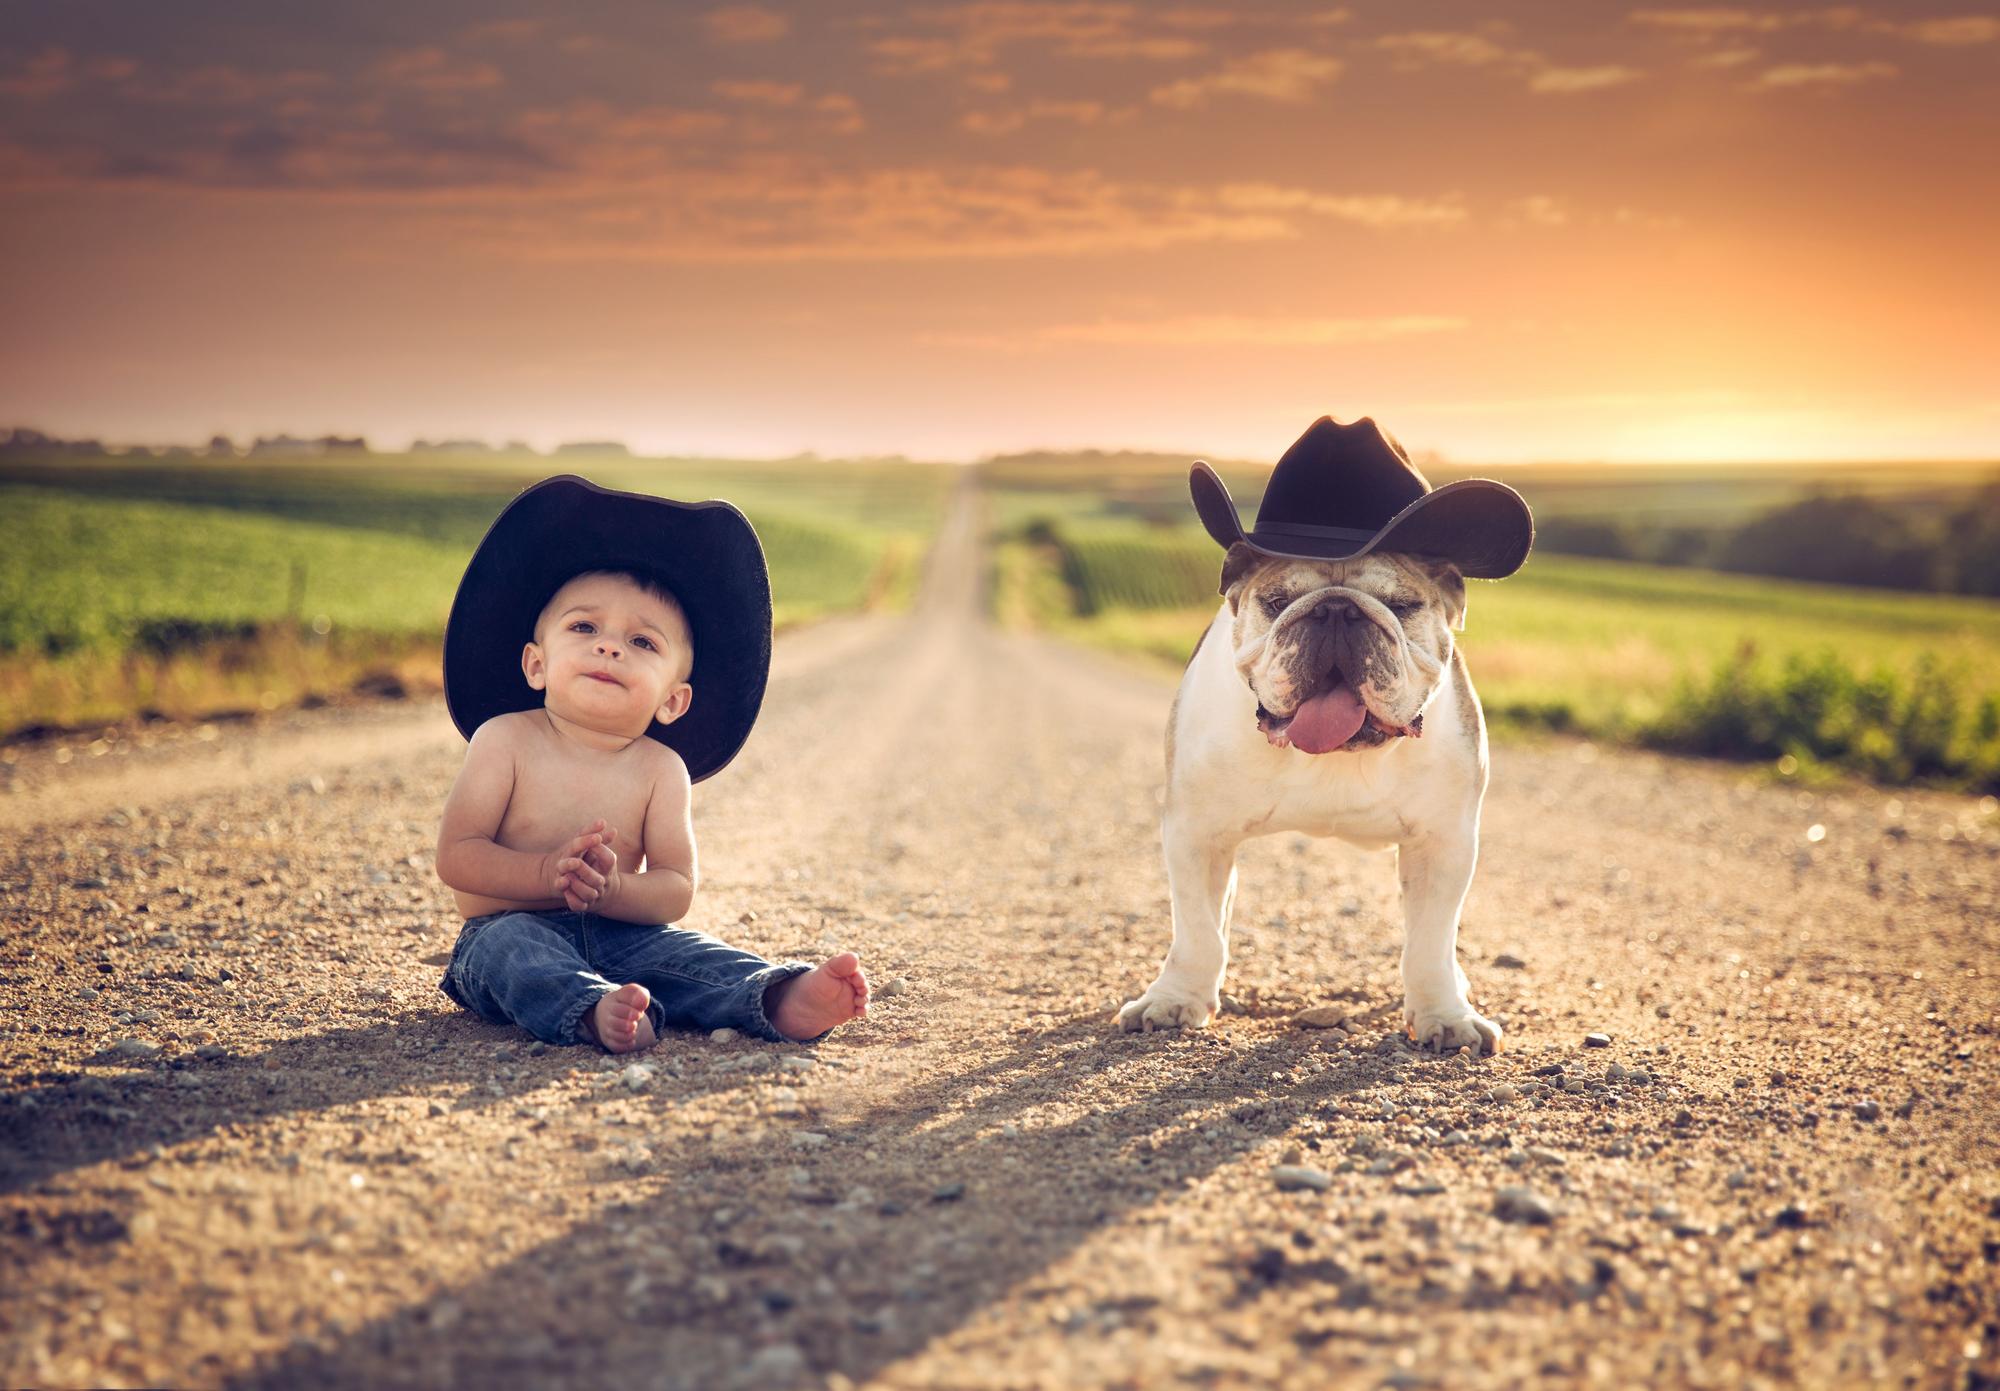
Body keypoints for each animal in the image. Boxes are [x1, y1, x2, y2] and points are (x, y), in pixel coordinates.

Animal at [1112, 543, 1504, 1055]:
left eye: (1401, 606)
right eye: (1278, 602)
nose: (1336, 610)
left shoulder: (1443, 845)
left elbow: (1429, 943)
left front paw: (1446, 1016)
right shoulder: (1196, 834)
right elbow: (1198, 931)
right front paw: (1175, 1000)